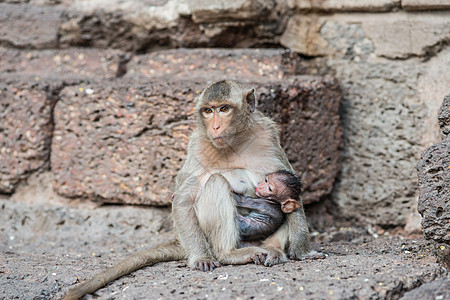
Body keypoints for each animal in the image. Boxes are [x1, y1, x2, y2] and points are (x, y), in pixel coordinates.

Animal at [62, 80, 310, 300]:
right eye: (208, 111)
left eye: (224, 109)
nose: (215, 126)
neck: (233, 143)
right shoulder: (198, 144)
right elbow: (183, 199)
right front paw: (201, 257)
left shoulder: (266, 135)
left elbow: (290, 194)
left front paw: (303, 252)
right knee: (216, 182)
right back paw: (227, 254)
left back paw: (274, 251)